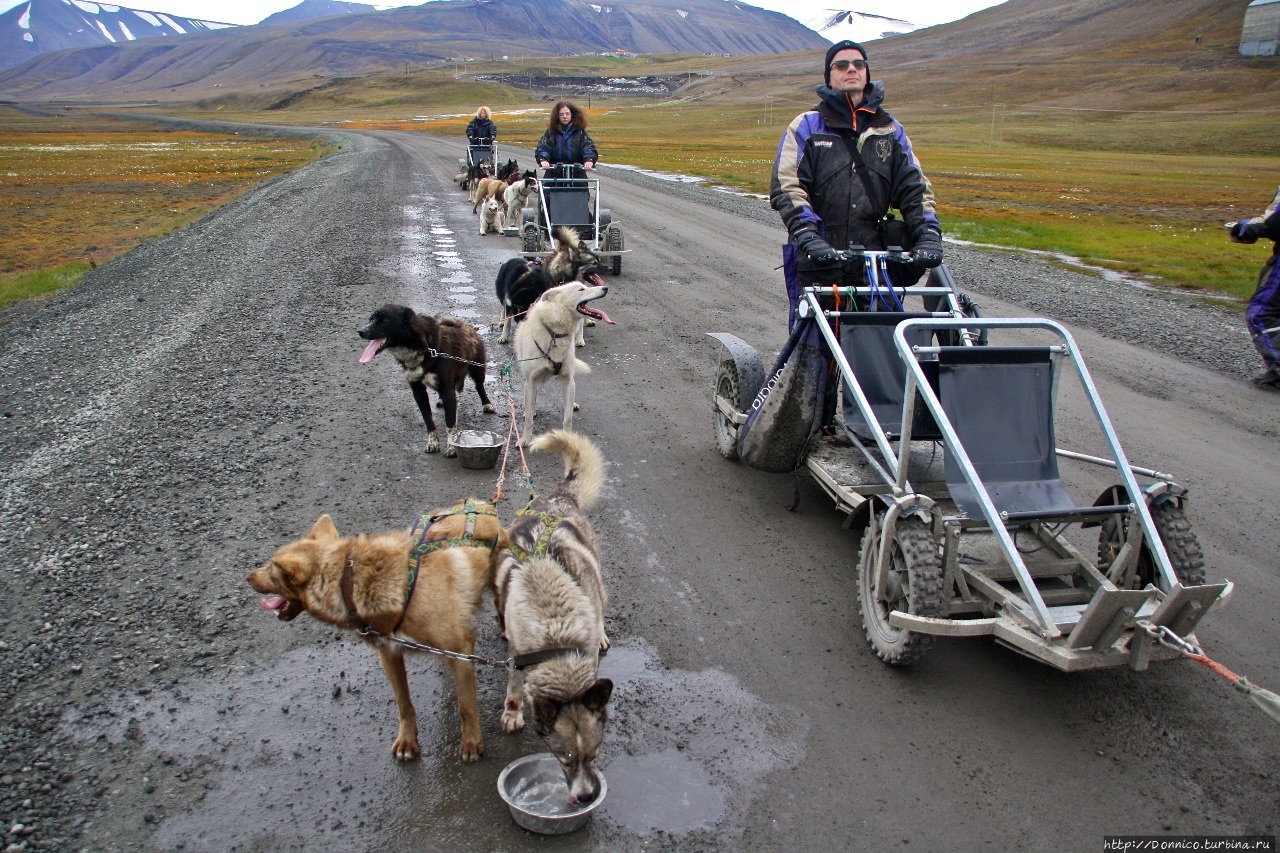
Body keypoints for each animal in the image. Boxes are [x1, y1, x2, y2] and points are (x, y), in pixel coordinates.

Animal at [247, 494, 506, 758]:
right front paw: (407, 740)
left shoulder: (462, 653)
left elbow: (467, 707)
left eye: (271, 569)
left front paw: (471, 742)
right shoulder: (389, 654)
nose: (249, 576)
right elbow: (403, 704)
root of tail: (479, 504)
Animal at [491, 432, 611, 804]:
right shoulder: (519, 654)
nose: (586, 797)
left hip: (595, 572)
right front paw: (512, 712)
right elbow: (515, 687)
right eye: (564, 757)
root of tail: (558, 496)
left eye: (595, 755)